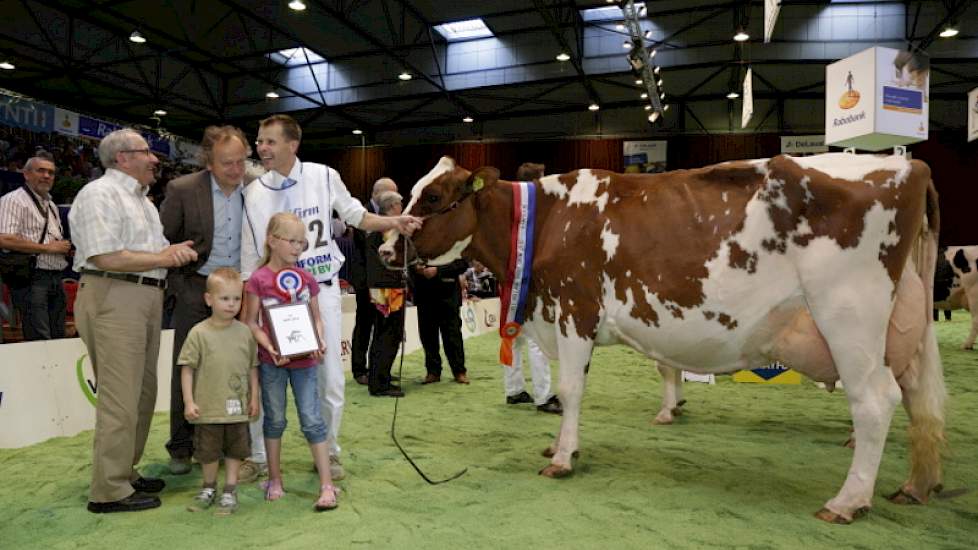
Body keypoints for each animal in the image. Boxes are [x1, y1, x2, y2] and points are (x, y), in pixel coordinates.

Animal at [378, 154, 940, 528]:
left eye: (432, 197)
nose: (384, 248)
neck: (548, 222)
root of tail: (911, 164)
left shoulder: (576, 309)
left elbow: (572, 390)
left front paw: (562, 458)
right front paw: (562, 444)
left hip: (848, 315)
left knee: (875, 402)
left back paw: (847, 501)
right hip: (905, 326)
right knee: (921, 402)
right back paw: (915, 486)